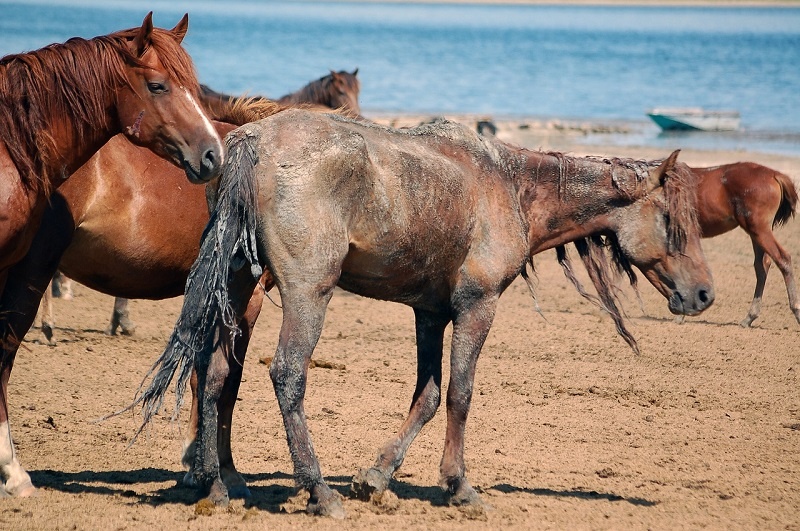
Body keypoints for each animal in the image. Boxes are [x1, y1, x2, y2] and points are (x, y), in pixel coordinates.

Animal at [133, 109, 712, 520]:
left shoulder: (430, 314)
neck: (510, 185)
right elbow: (459, 394)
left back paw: (217, 486)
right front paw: (459, 486)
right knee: (287, 376)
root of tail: (251, 143)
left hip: (239, 287)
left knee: (214, 377)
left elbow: (428, 396)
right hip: (308, 294)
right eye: (672, 220)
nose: (705, 294)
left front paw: (376, 477)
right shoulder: (477, 307)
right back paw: (318, 491)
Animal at [692, 163, 796, 328]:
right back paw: (750, 317)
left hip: (759, 230)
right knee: (762, 265)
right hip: (757, 232)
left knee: (782, 258)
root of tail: (774, 175)